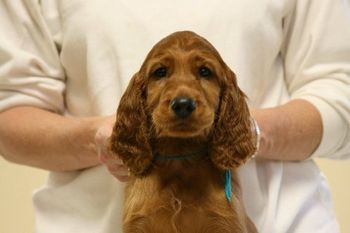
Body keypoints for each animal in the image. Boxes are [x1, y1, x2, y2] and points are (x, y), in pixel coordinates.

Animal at [110, 31, 258, 233]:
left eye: (205, 71)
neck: (179, 158)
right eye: (160, 72)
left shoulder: (226, 223)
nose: (183, 104)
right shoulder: (138, 223)